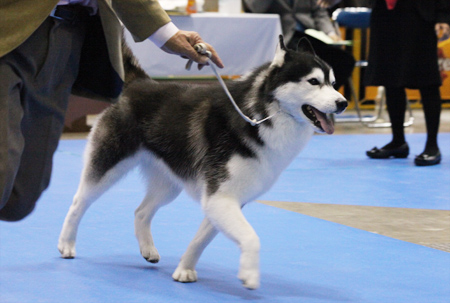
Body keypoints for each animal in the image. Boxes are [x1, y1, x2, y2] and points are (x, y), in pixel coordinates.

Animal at [58, 35, 348, 290]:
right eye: (313, 81)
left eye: (334, 83)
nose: (343, 102)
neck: (259, 115)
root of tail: (139, 83)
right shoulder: (220, 196)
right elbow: (251, 238)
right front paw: (249, 274)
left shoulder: (223, 199)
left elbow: (201, 239)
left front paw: (184, 269)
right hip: (108, 165)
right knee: (78, 201)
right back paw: (66, 244)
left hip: (169, 184)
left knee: (141, 212)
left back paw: (148, 248)